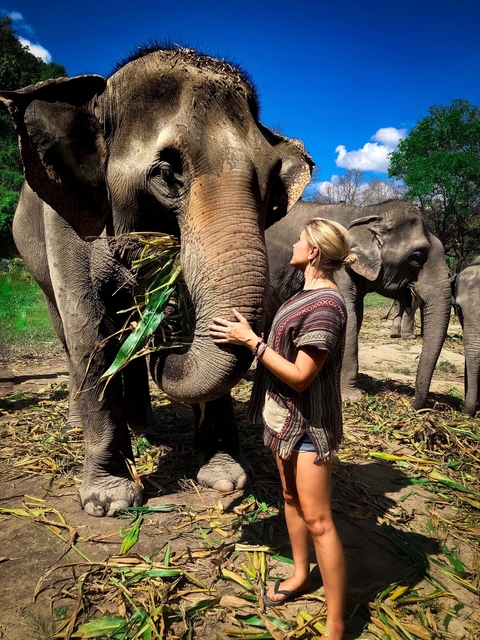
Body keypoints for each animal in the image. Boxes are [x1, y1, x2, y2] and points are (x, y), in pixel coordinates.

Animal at [0, 46, 313, 516]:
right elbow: (89, 331)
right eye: (167, 173)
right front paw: (109, 501)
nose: (164, 328)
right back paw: (82, 423)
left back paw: (143, 422)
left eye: (271, 184)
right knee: (68, 331)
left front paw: (226, 478)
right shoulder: (66, 219)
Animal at [265, 200, 452, 408]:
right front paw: (351, 398)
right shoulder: (339, 265)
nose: (414, 404)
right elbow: (349, 319)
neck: (367, 212)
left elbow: (356, 314)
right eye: (416, 257)